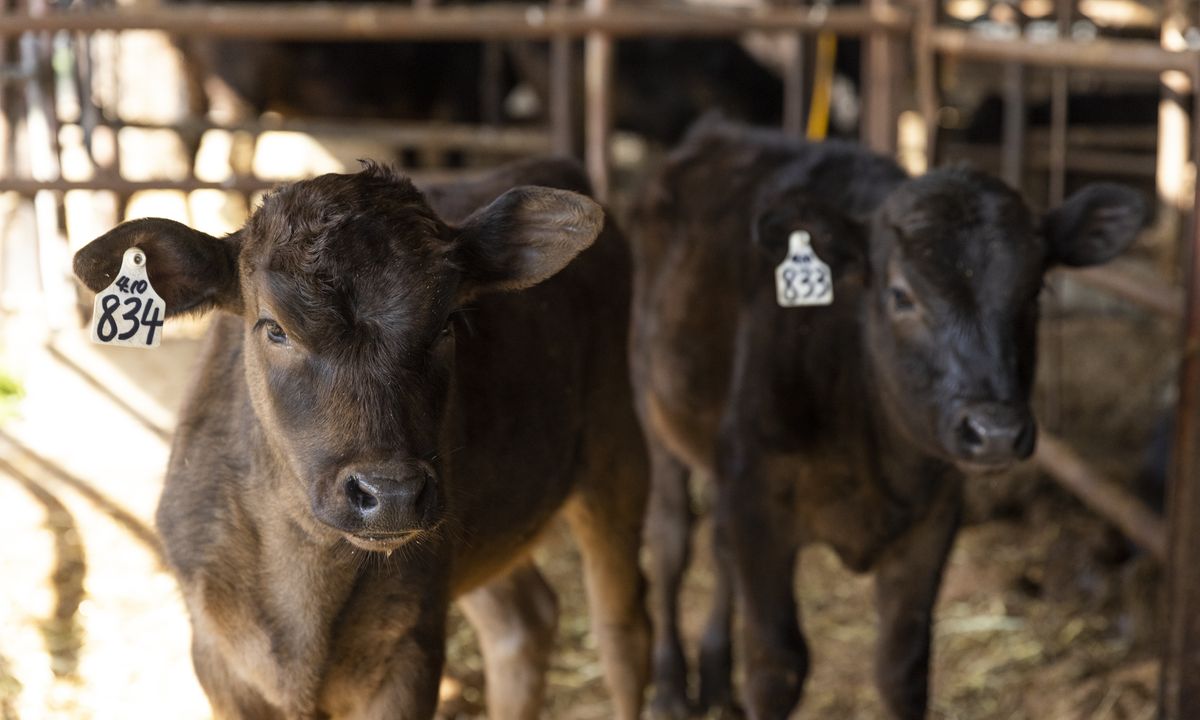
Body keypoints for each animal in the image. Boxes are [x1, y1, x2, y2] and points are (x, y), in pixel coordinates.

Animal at [72, 157, 650, 720]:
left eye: (447, 323)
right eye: (274, 328)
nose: (391, 493)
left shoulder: (408, 653)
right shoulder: (218, 660)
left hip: (615, 445)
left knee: (621, 632)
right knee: (523, 622)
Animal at [629, 118, 1145, 720]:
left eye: (1035, 290)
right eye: (901, 295)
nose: (995, 431)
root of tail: (714, 131)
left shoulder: (933, 518)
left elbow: (902, 668)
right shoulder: (758, 503)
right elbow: (777, 665)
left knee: (717, 547)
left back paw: (714, 680)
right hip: (653, 413)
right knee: (670, 542)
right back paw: (669, 688)